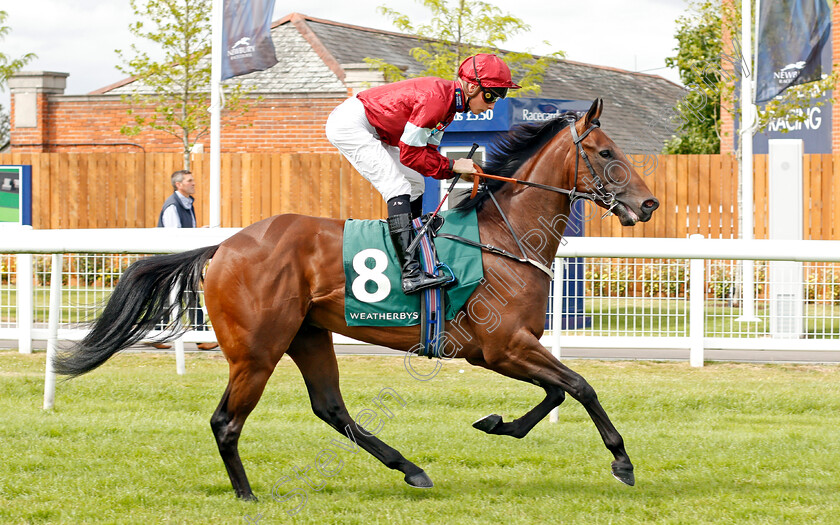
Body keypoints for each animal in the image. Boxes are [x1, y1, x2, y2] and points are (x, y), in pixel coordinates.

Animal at [55, 99, 664, 500]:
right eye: (605, 152)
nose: (649, 204)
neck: (502, 236)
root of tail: (223, 246)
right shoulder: (499, 347)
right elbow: (579, 386)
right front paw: (623, 461)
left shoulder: (510, 348)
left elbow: (559, 392)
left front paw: (497, 424)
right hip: (257, 351)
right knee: (226, 422)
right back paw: (247, 495)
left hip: (308, 335)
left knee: (330, 408)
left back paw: (410, 468)